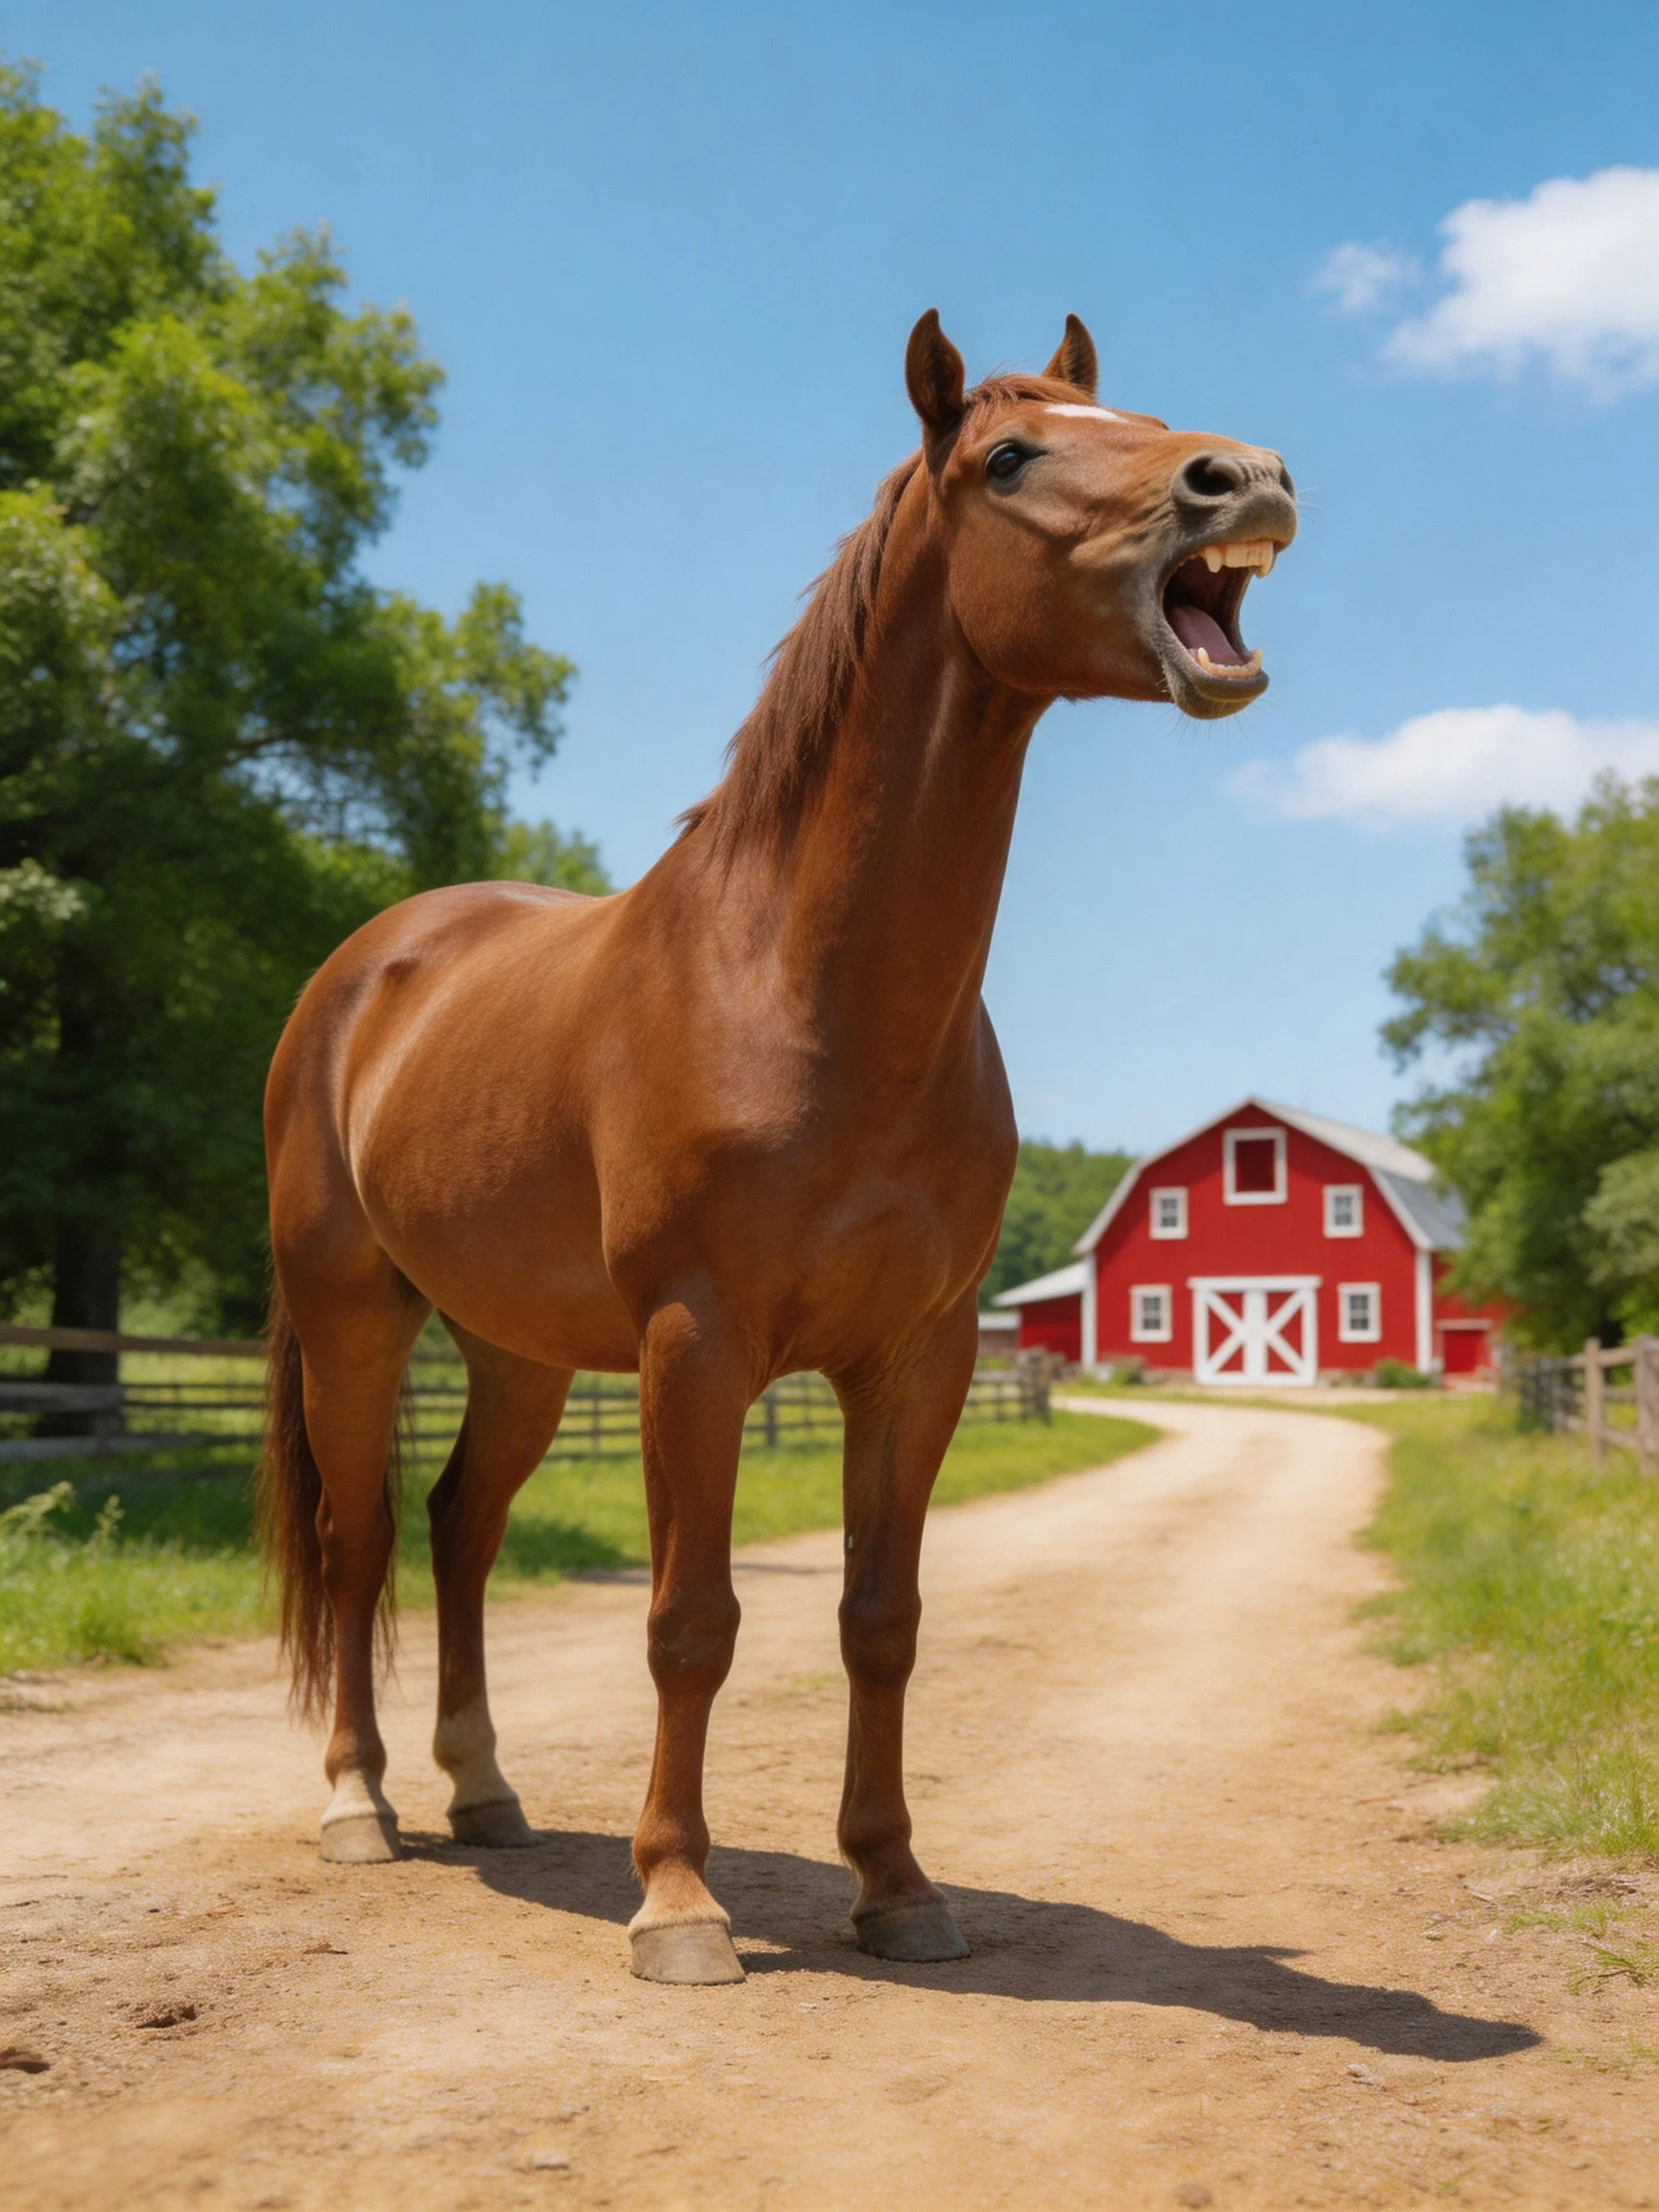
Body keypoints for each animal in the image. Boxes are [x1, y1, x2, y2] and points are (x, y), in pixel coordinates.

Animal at [260, 310, 1295, 1985]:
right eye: (1011, 455)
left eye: (1138, 419)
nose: (1245, 480)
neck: (803, 988)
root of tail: (363, 973)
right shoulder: (698, 1345)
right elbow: (693, 1622)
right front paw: (678, 1904)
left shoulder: (916, 1357)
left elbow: (883, 1619)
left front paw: (898, 1887)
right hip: (357, 1321)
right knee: (360, 1547)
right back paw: (361, 1803)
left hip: (518, 1351)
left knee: (460, 1531)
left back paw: (484, 1793)